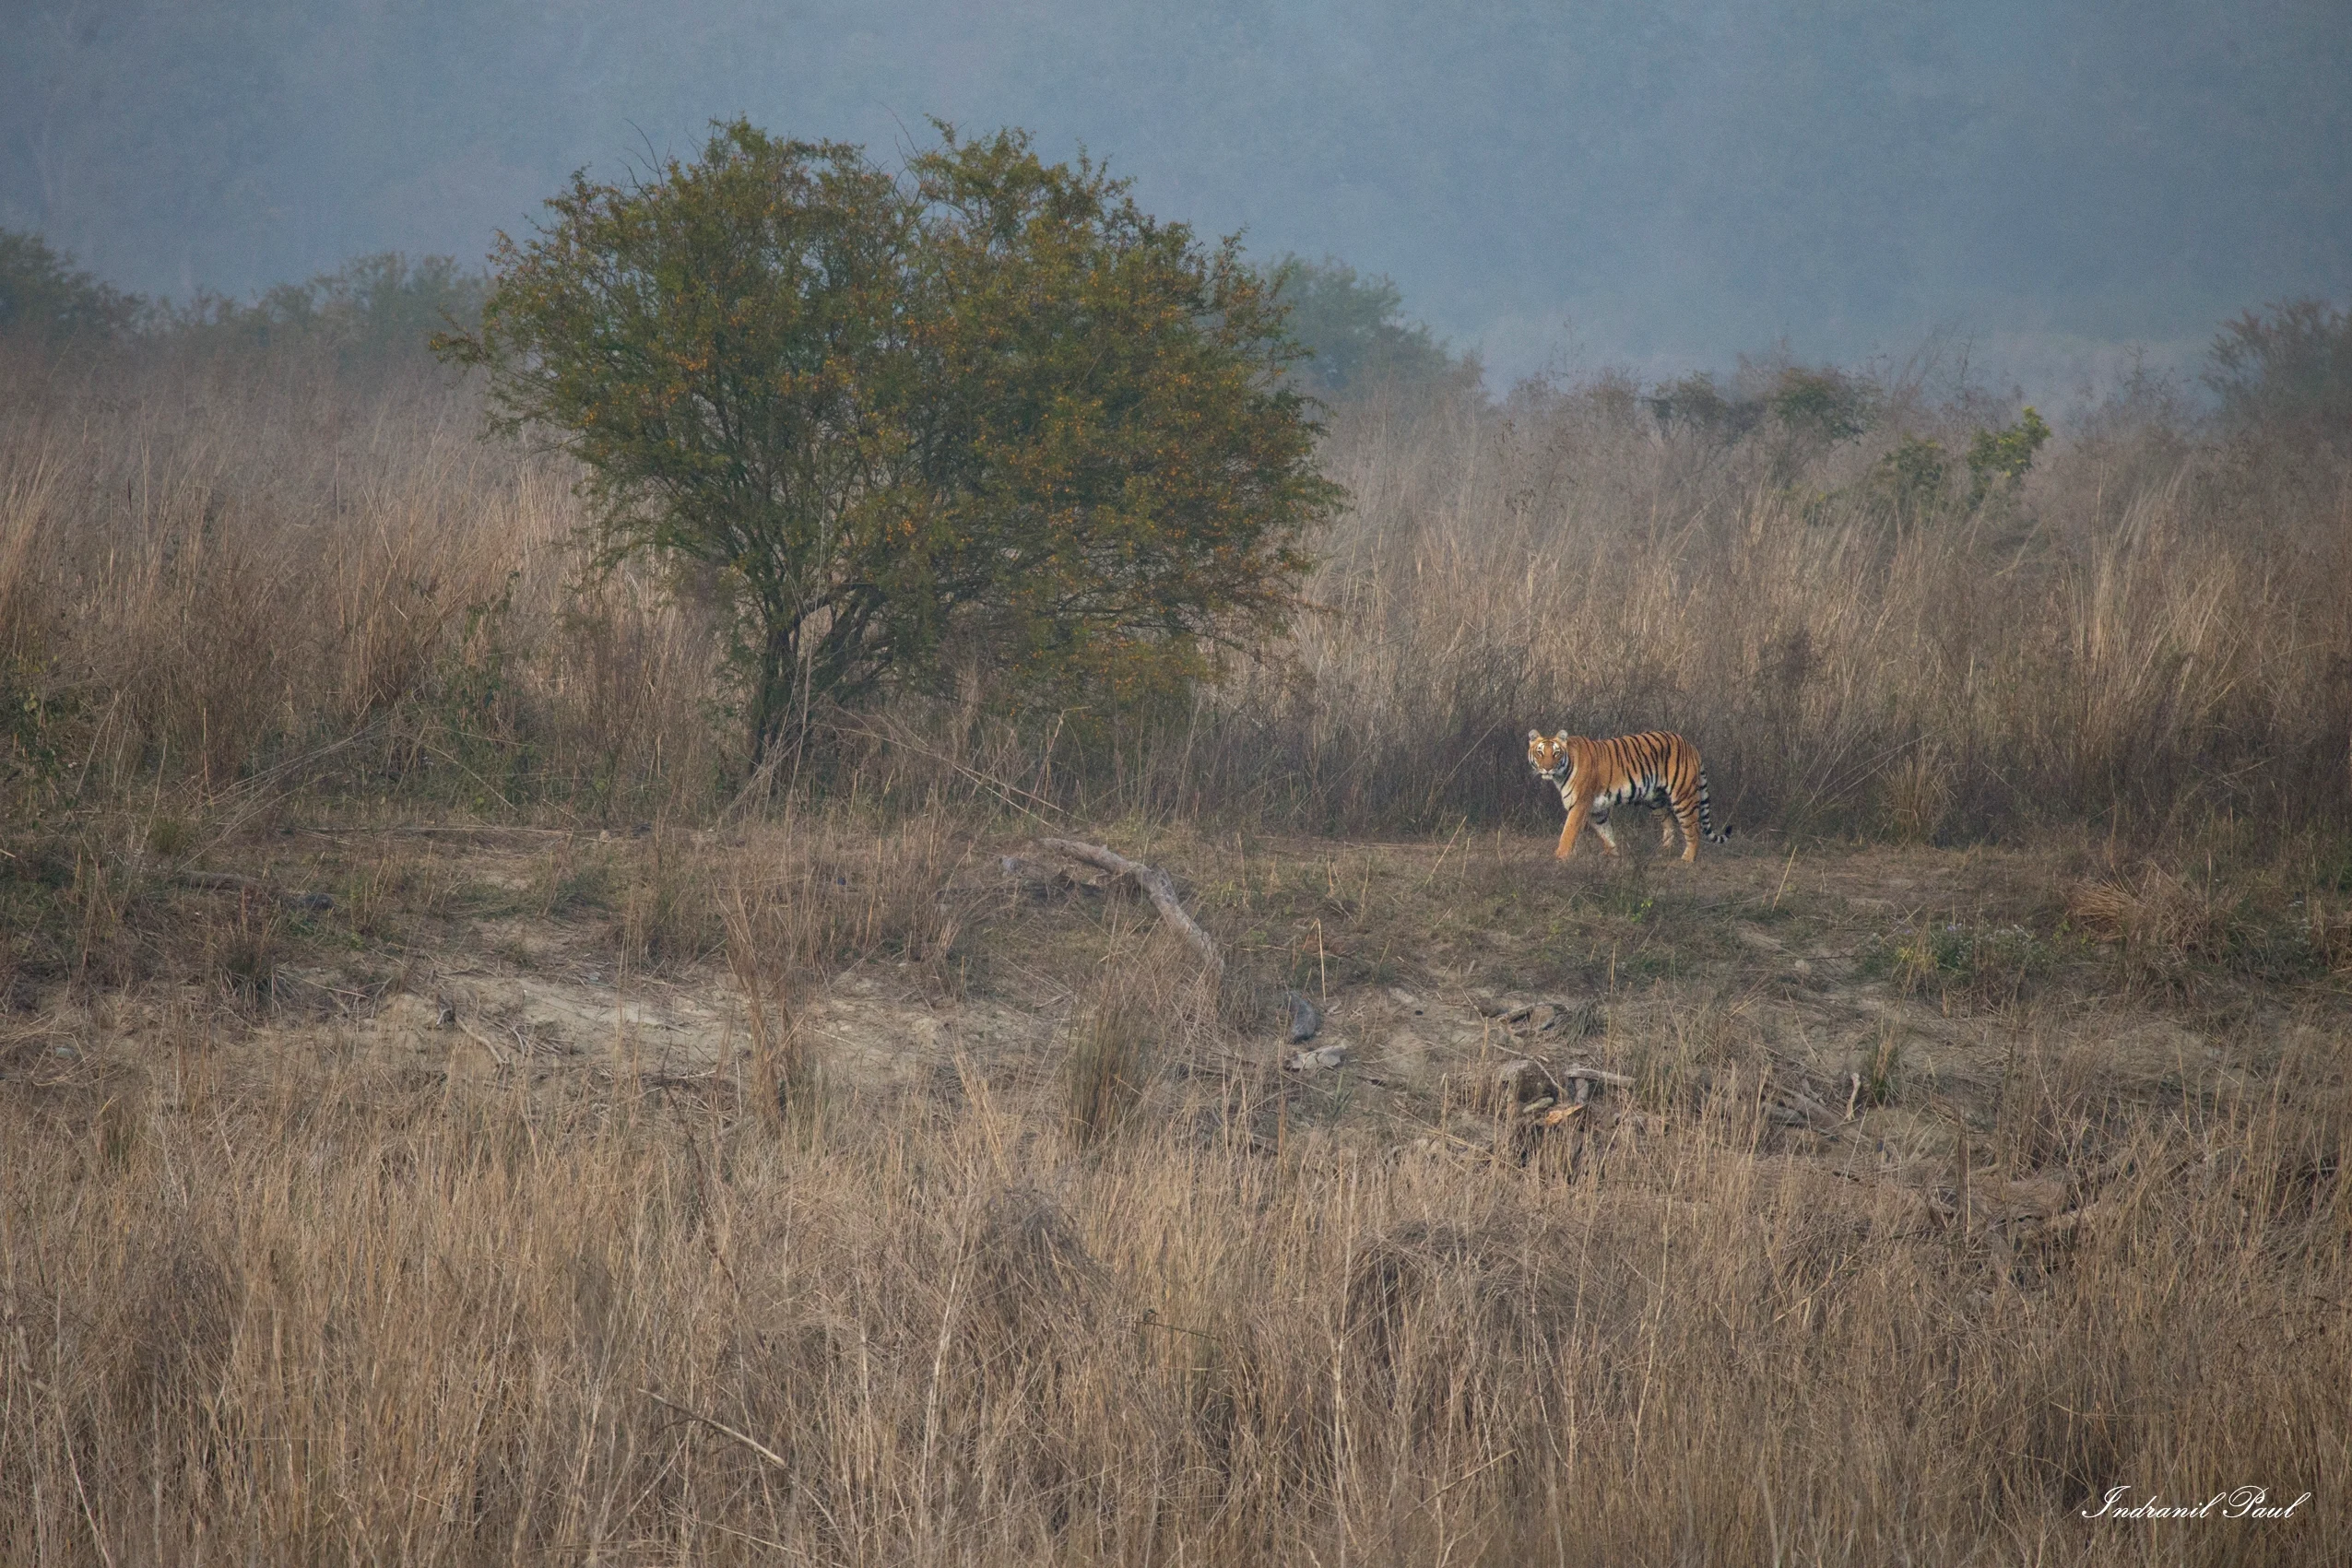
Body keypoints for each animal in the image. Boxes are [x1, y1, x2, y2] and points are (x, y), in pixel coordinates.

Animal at [1527, 728, 1730, 863]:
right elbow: (1605, 832)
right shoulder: (1596, 809)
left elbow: (1568, 832)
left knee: (1693, 827)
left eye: (1556, 753)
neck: (1560, 775)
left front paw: (1559, 856)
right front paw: (1612, 854)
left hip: (1683, 796)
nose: (1547, 768)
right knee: (1669, 822)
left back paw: (1687, 859)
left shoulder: (1580, 804)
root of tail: (1690, 745)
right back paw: (1663, 851)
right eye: (1540, 753)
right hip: (1655, 800)